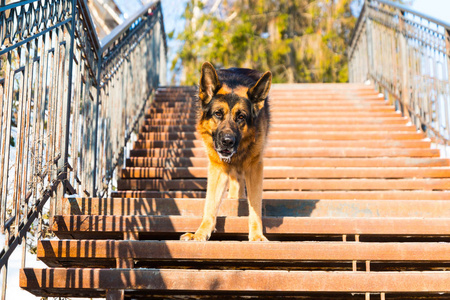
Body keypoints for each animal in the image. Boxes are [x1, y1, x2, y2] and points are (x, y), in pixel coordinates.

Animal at [179, 62, 270, 241]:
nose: (227, 141)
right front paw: (200, 233)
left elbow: (255, 205)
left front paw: (257, 235)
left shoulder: (254, 168)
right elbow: (210, 204)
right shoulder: (218, 168)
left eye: (241, 117)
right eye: (218, 114)